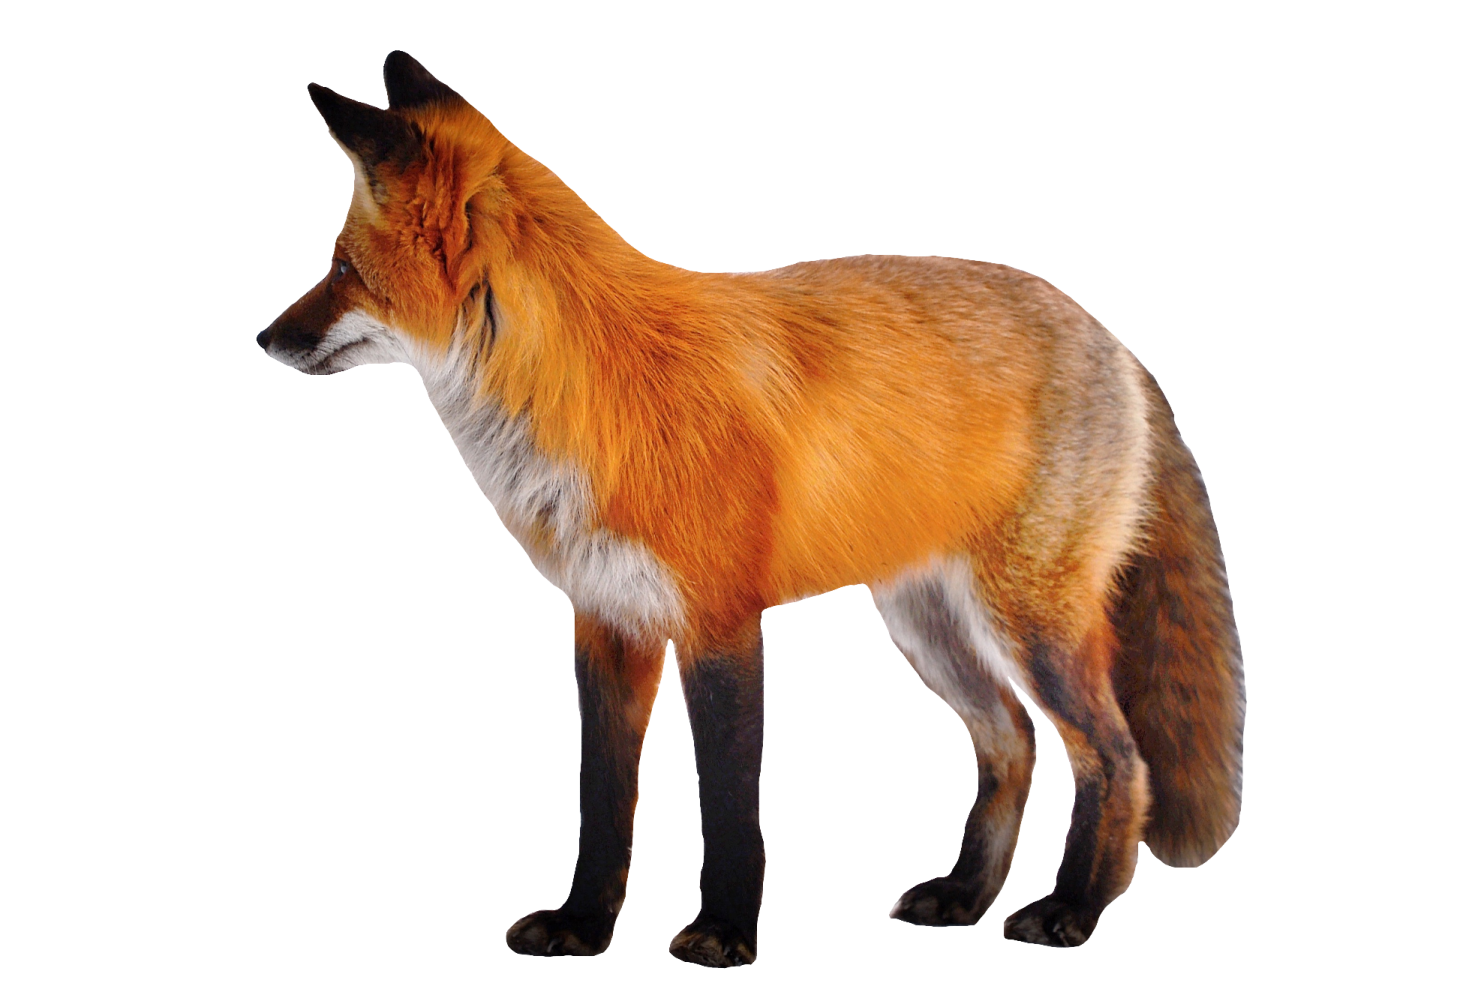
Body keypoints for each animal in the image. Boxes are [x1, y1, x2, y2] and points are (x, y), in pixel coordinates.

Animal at [256, 51, 1245, 966]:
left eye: (340, 267)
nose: (264, 338)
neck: (588, 396)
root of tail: (1109, 334)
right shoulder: (606, 619)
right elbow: (603, 803)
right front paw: (582, 925)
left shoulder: (719, 622)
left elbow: (729, 800)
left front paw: (724, 930)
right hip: (927, 626)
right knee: (1012, 745)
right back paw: (965, 894)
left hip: (1030, 625)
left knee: (1117, 758)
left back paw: (1071, 909)